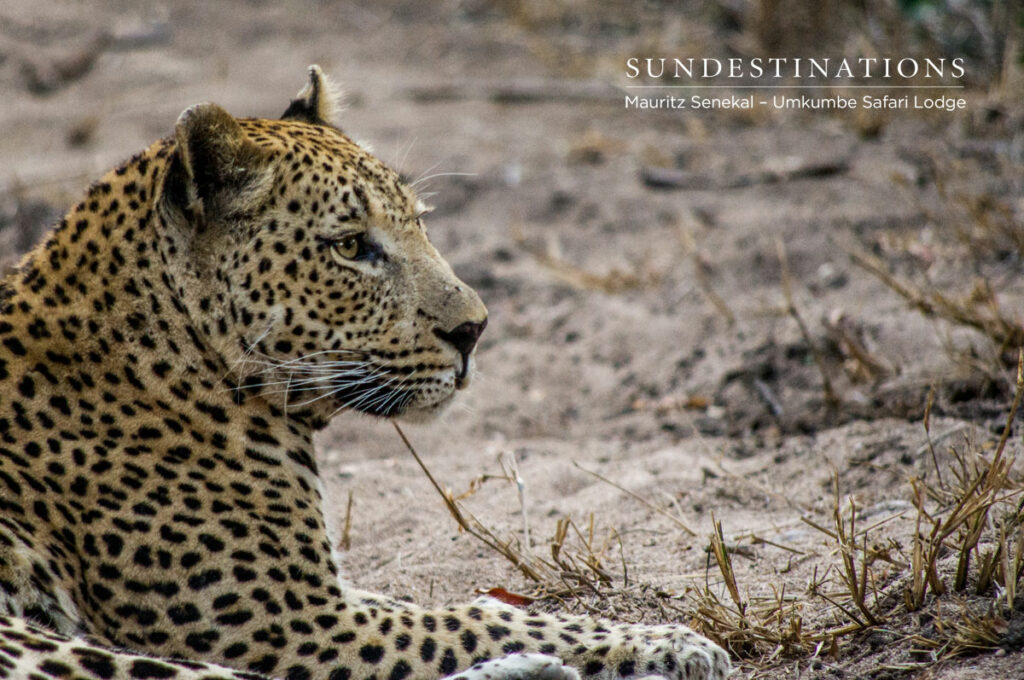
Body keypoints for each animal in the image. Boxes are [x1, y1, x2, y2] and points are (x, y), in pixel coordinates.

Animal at [0, 66, 731, 680]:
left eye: (419, 222)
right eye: (351, 246)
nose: (474, 329)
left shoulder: (328, 599)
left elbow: (464, 609)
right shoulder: (296, 622)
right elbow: (465, 623)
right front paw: (672, 642)